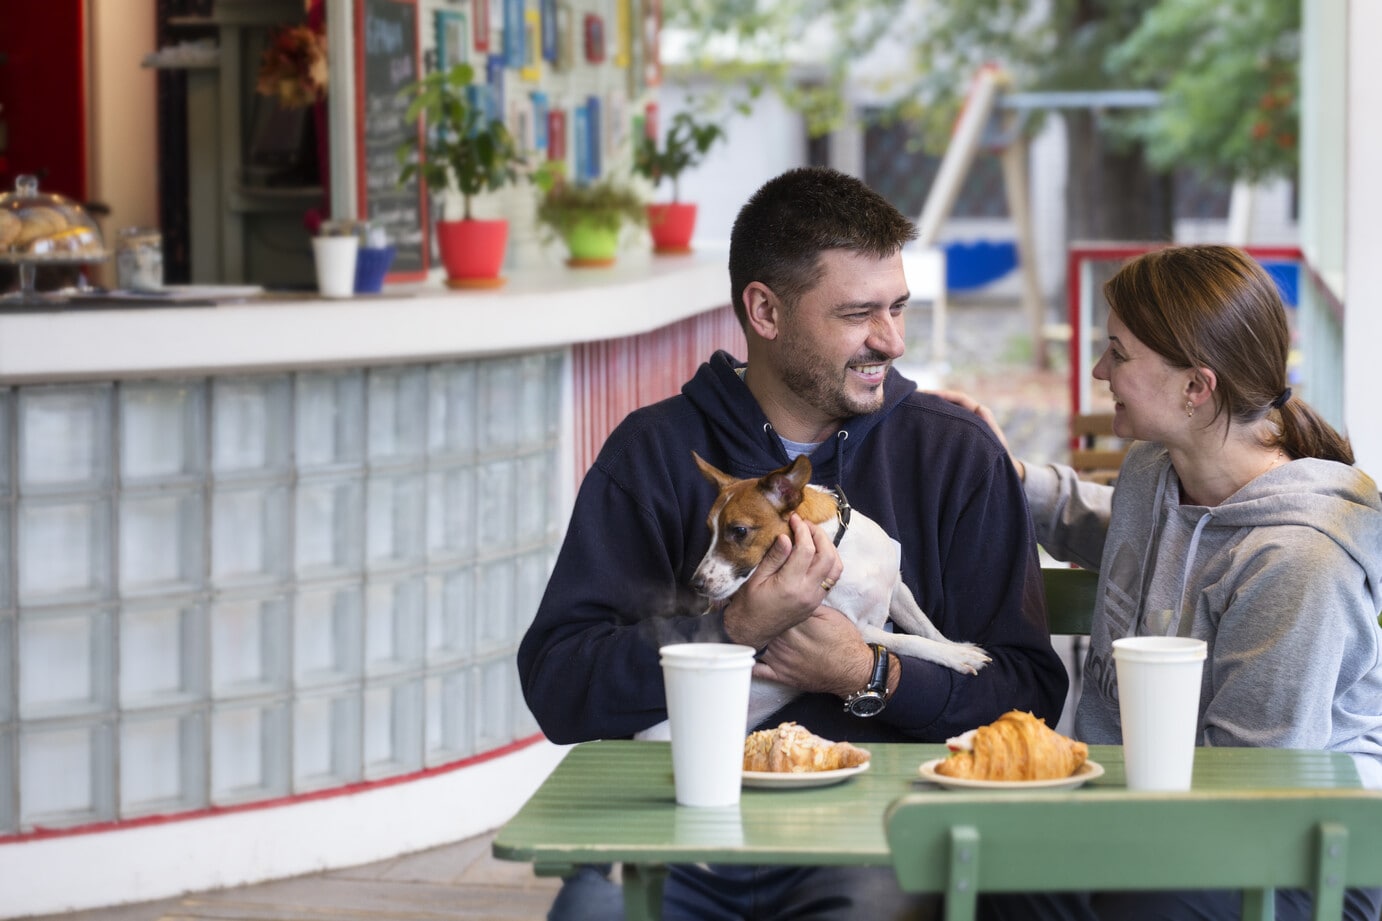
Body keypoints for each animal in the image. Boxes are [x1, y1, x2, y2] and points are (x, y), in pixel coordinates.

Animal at [685, 448, 989, 730]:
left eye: (739, 531)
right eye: (710, 531)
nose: (695, 584)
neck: (841, 551)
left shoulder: (897, 590)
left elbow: (925, 628)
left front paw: (954, 647)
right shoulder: (857, 628)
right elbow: (908, 640)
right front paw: (954, 656)